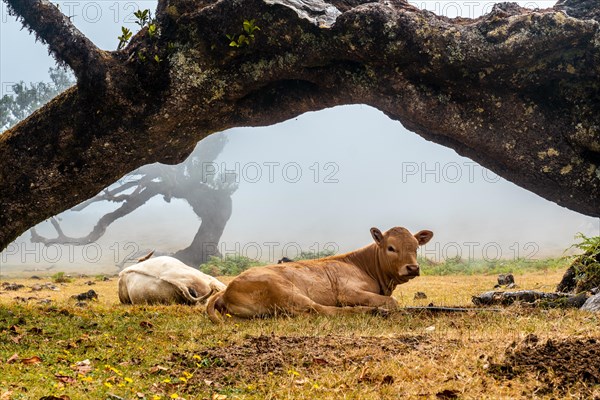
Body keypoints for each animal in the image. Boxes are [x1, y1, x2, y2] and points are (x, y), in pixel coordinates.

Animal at [206, 227, 432, 324]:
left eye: (415, 246)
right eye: (391, 247)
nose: (413, 268)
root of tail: (226, 289)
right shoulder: (347, 292)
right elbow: (393, 301)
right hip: (286, 290)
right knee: (323, 310)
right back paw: (374, 311)